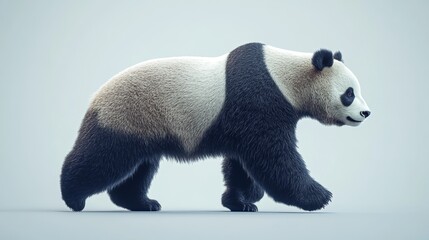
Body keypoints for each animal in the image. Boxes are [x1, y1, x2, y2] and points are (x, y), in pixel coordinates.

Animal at [61, 42, 372, 212]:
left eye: (357, 90)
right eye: (348, 93)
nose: (366, 113)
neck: (285, 75)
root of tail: (96, 97)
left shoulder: (246, 118)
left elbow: (242, 163)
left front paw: (242, 201)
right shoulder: (259, 98)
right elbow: (273, 157)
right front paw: (320, 196)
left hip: (143, 127)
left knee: (139, 167)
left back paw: (142, 203)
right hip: (127, 114)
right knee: (104, 157)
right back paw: (73, 197)